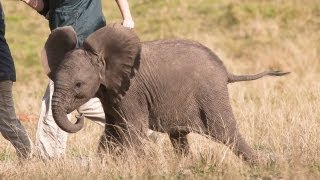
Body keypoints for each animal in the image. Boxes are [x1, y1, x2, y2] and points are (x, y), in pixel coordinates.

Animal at [41, 22, 288, 165]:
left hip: (210, 92)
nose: (78, 116)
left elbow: (131, 129)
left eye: (78, 86)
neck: (103, 57)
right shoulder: (111, 93)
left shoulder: (131, 92)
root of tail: (225, 71)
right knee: (179, 136)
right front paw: (106, 166)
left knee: (225, 132)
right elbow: (113, 130)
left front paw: (138, 165)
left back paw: (261, 166)